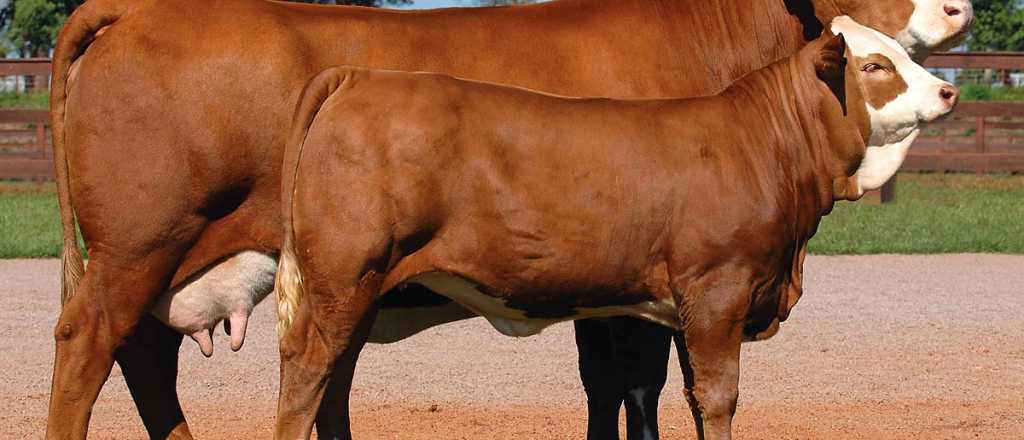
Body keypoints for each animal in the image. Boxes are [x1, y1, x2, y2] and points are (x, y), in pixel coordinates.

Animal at [47, 0, 971, 438]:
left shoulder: (625, 287)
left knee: (158, 364)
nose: (949, 82)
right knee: (93, 350)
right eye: (876, 62)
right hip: (147, 249)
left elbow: (616, 390)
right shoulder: (698, 288)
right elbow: (671, 392)